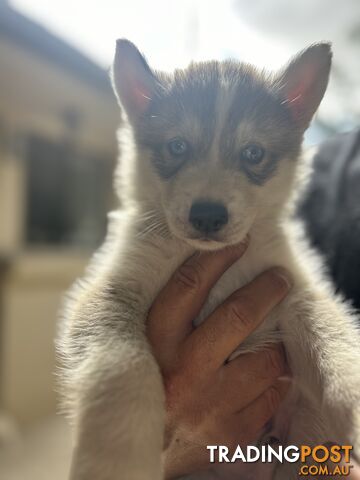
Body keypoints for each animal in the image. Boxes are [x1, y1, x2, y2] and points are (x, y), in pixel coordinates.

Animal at [58, 38, 360, 480]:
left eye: (253, 153)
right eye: (177, 146)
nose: (208, 216)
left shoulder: (295, 290)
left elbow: (334, 340)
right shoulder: (111, 292)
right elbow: (120, 368)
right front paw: (117, 459)